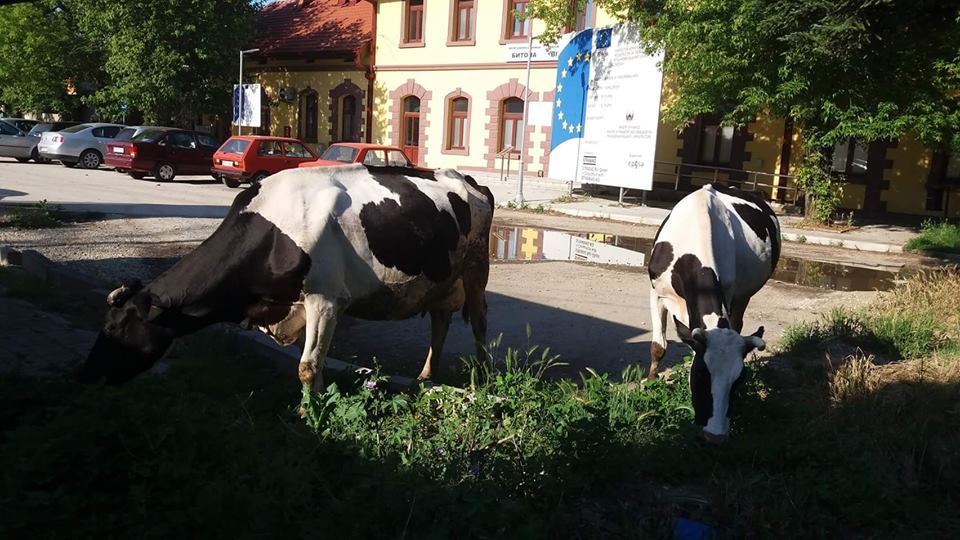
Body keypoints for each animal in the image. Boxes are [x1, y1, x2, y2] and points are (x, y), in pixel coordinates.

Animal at [79, 163, 496, 388]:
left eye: (115, 328)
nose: (85, 374)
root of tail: (467, 180)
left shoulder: (326, 300)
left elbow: (308, 368)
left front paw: (310, 418)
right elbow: (313, 363)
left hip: (477, 267)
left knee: (479, 322)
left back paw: (484, 378)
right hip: (440, 278)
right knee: (440, 321)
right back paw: (426, 377)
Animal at [644, 184, 780, 446]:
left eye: (739, 380)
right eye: (700, 374)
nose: (714, 436)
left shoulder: (728, 292)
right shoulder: (656, 292)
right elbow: (658, 346)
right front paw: (649, 383)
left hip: (744, 295)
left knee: (738, 322)